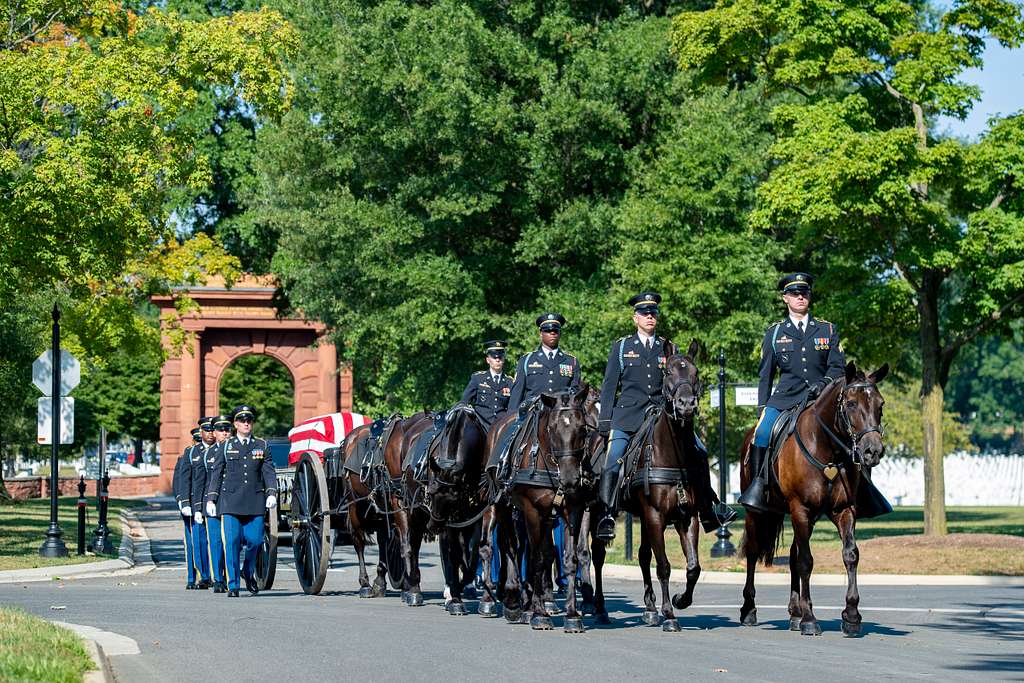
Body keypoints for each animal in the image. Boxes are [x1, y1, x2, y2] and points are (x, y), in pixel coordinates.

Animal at [401, 405, 489, 614]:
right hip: (414, 512)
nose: (434, 525)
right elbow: (454, 553)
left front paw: (463, 582)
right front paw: (455, 598)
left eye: (454, 498)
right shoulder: (451, 523)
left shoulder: (475, 516)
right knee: (412, 545)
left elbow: (472, 552)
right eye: (431, 492)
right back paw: (414, 590)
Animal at [585, 339, 712, 634]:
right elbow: (663, 565)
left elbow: (693, 567)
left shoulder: (687, 516)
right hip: (598, 511)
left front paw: (679, 600)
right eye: (669, 373)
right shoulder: (655, 515)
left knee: (643, 556)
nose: (686, 404)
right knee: (598, 555)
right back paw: (600, 608)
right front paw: (670, 615)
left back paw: (650, 608)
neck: (674, 455)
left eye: (695, 372)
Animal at [737, 362, 888, 634]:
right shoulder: (801, 508)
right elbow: (806, 561)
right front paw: (809, 619)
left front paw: (851, 615)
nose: (873, 451)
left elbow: (850, 555)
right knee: (754, 551)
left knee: (793, 554)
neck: (827, 449)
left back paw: (794, 612)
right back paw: (750, 609)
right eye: (851, 403)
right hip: (757, 512)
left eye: (880, 404)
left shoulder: (843, 510)